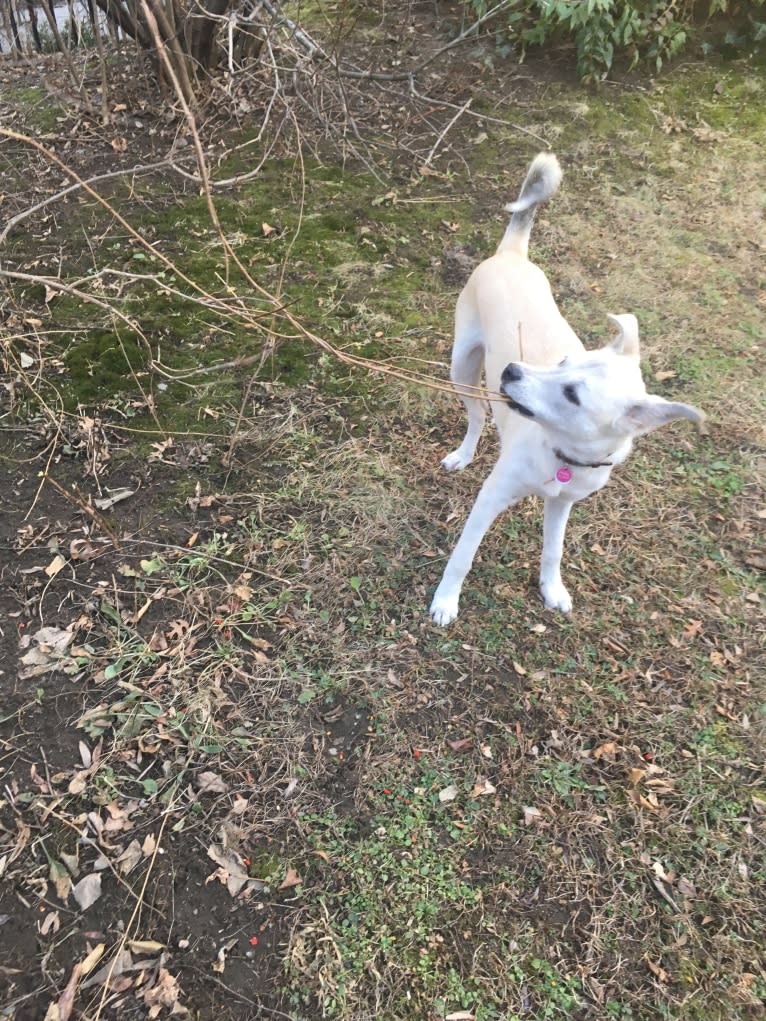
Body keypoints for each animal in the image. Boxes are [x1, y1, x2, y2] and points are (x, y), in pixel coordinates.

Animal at [428, 154, 706, 624]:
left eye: (573, 394)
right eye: (562, 362)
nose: (511, 372)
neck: (564, 456)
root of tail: (512, 253)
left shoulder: (562, 504)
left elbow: (553, 551)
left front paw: (552, 589)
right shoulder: (491, 496)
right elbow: (463, 556)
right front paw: (446, 601)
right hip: (461, 365)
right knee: (476, 415)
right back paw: (463, 454)